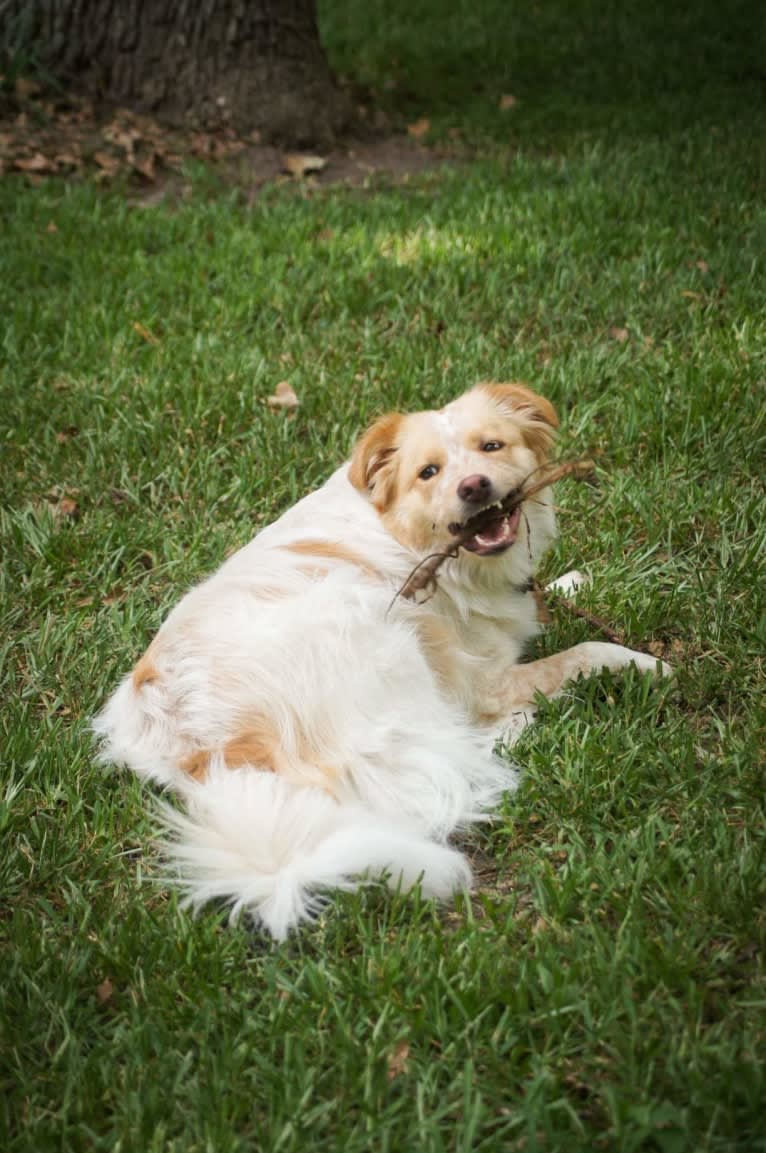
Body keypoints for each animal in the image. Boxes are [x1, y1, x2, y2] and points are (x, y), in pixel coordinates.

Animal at [94, 382, 664, 940]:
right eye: (428, 472)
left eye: (491, 446)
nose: (474, 486)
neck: (409, 537)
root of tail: (208, 753)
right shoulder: (483, 680)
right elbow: (582, 653)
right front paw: (642, 663)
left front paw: (570, 584)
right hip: (366, 621)